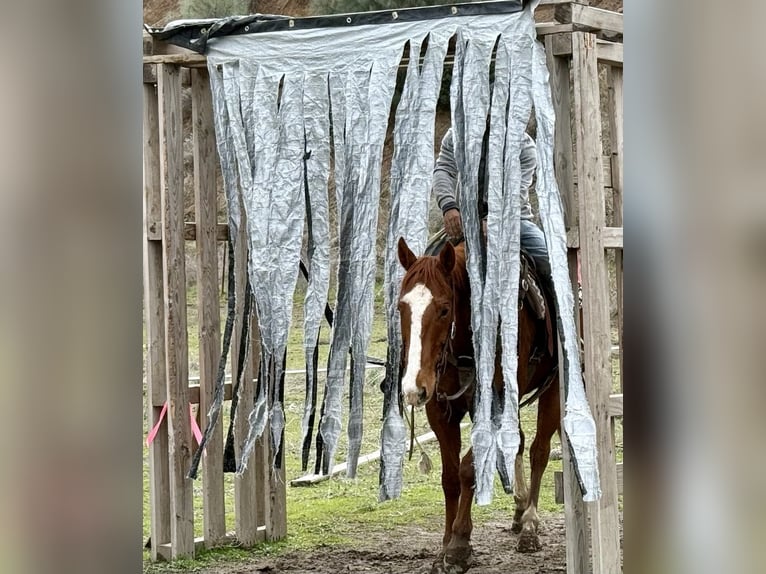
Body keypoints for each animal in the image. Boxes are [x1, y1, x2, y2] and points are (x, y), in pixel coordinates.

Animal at [396, 237, 560, 573]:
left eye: (444, 309)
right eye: (401, 307)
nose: (413, 389)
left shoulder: (492, 404)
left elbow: (468, 469)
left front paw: (459, 546)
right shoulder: (440, 411)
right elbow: (449, 478)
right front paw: (444, 547)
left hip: (554, 387)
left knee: (539, 450)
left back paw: (530, 524)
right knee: (518, 443)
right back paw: (519, 511)